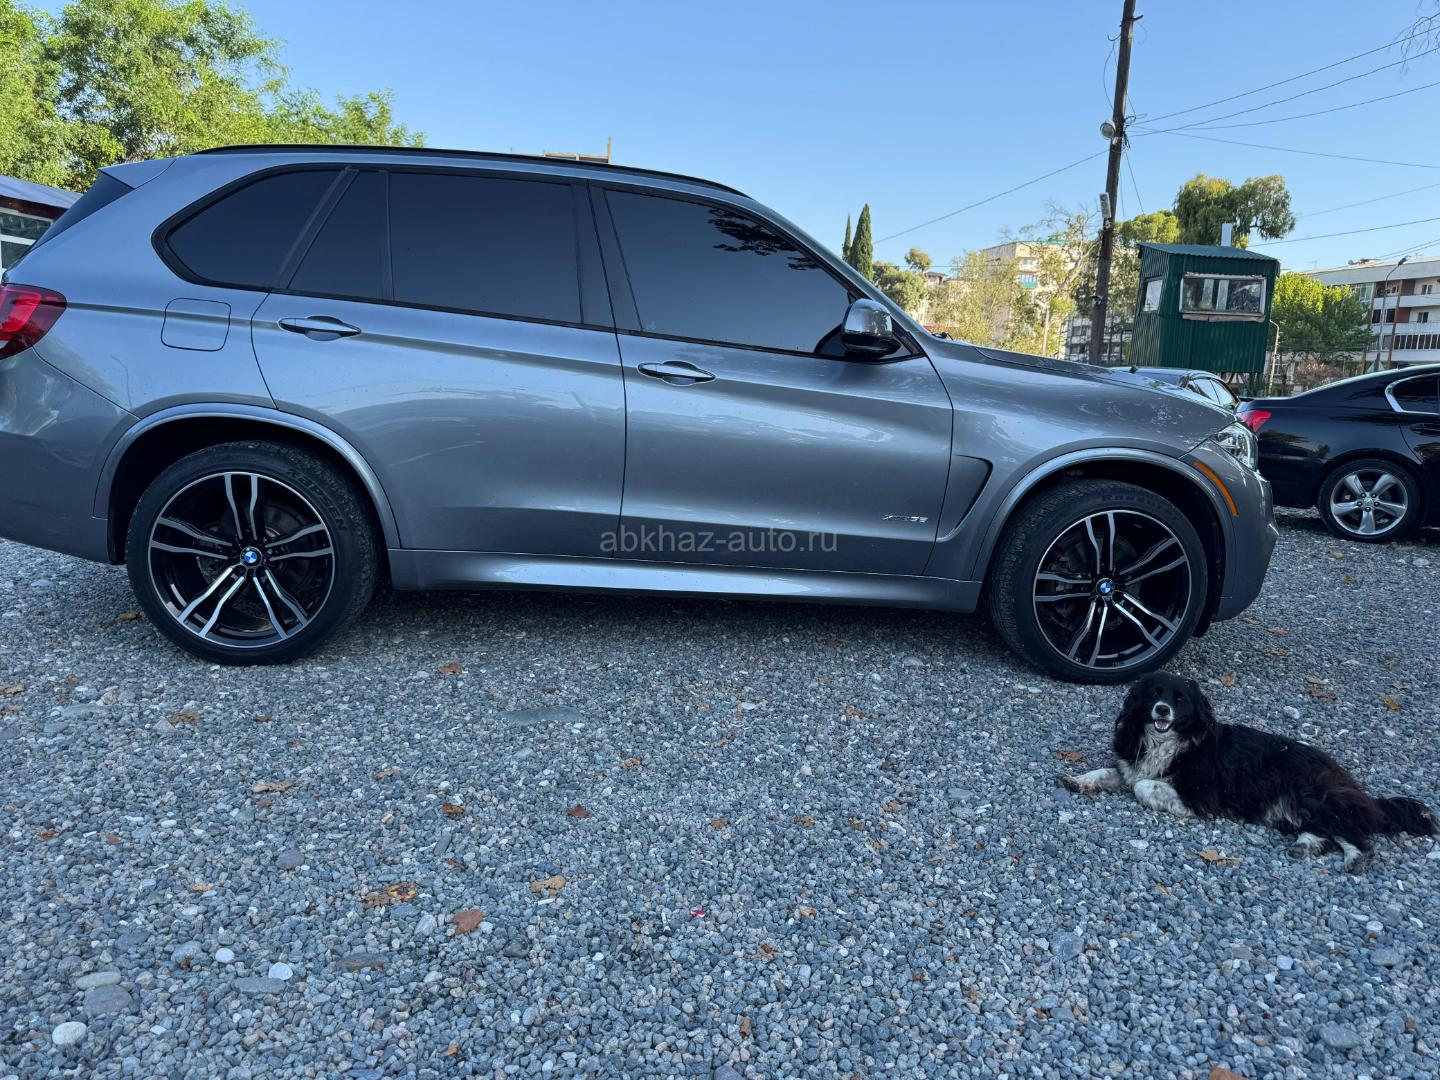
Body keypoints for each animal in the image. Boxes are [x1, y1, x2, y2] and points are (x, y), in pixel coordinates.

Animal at [1059, 672, 1436, 873]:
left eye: (1180, 699)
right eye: (1155, 692)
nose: (1162, 709)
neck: (1166, 741)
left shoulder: (1202, 792)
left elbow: (1146, 788)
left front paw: (1172, 804)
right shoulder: (1130, 767)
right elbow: (1107, 773)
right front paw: (1076, 780)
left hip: (1315, 796)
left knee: (1354, 832)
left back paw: (1354, 858)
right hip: (1297, 809)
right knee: (1327, 831)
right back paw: (1305, 846)